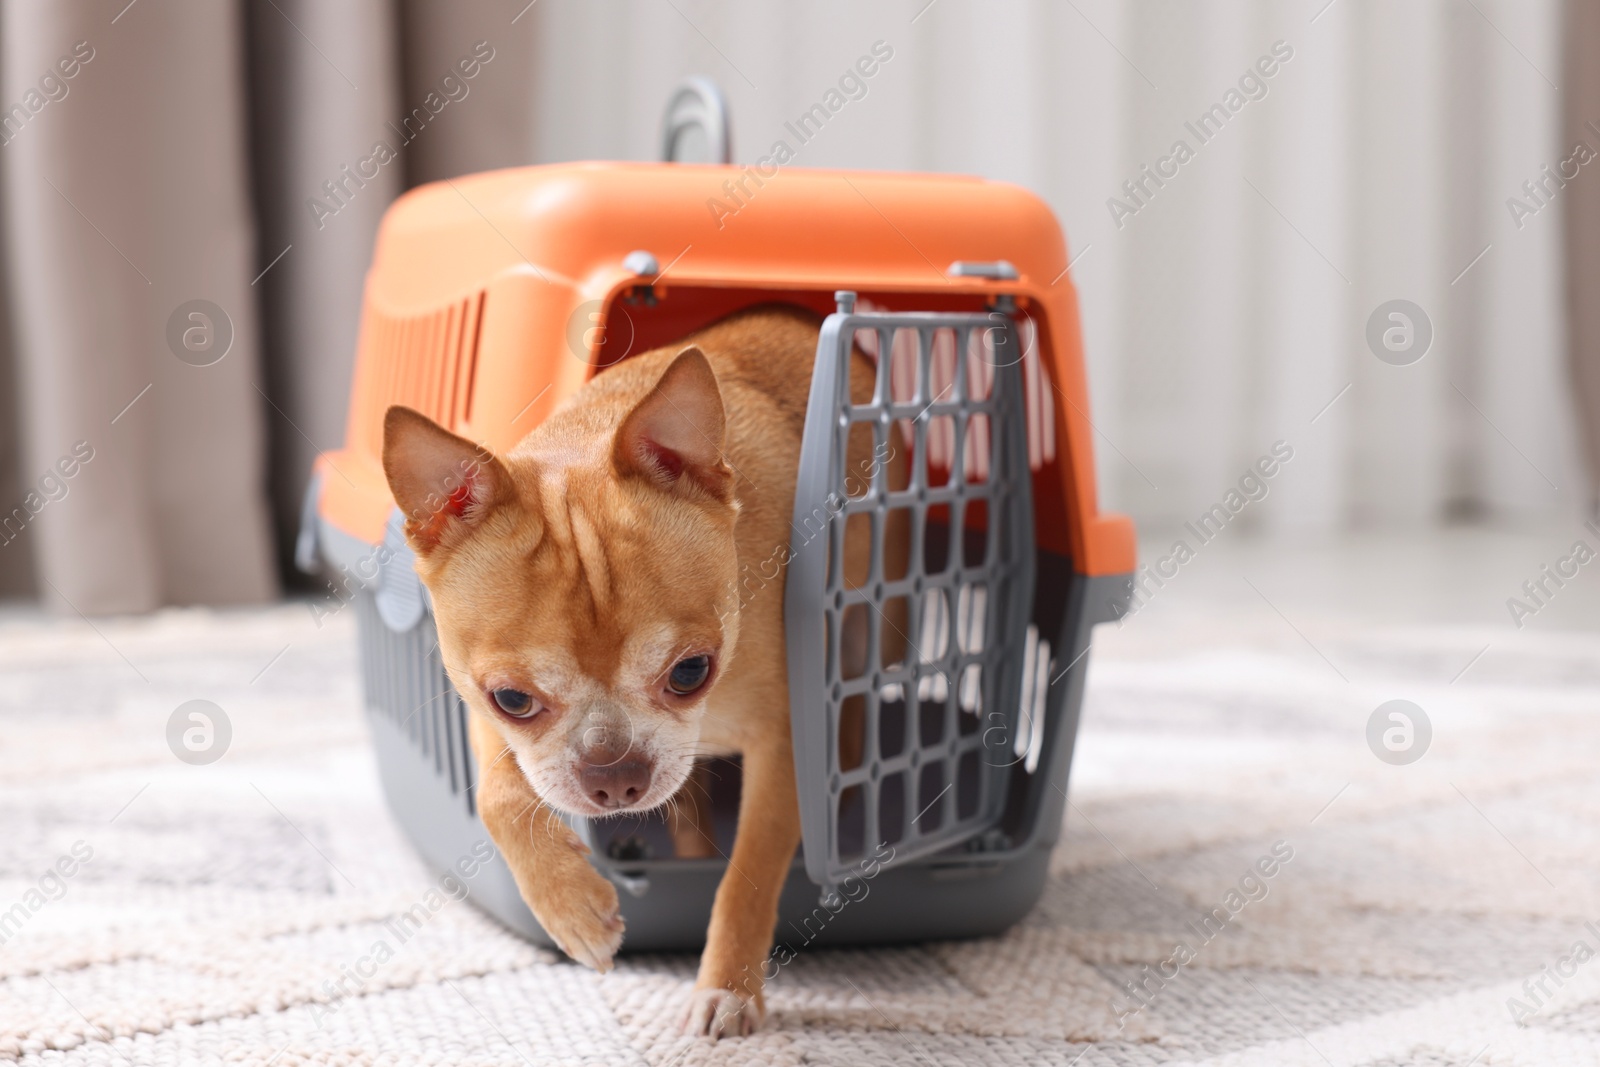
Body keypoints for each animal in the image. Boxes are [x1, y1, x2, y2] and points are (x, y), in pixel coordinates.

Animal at [380, 303, 896, 1036]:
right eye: (512, 699)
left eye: (691, 671)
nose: (614, 774)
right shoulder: (479, 711)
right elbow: (498, 798)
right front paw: (571, 909)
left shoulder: (783, 742)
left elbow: (749, 870)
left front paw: (727, 989)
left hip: (866, 624)